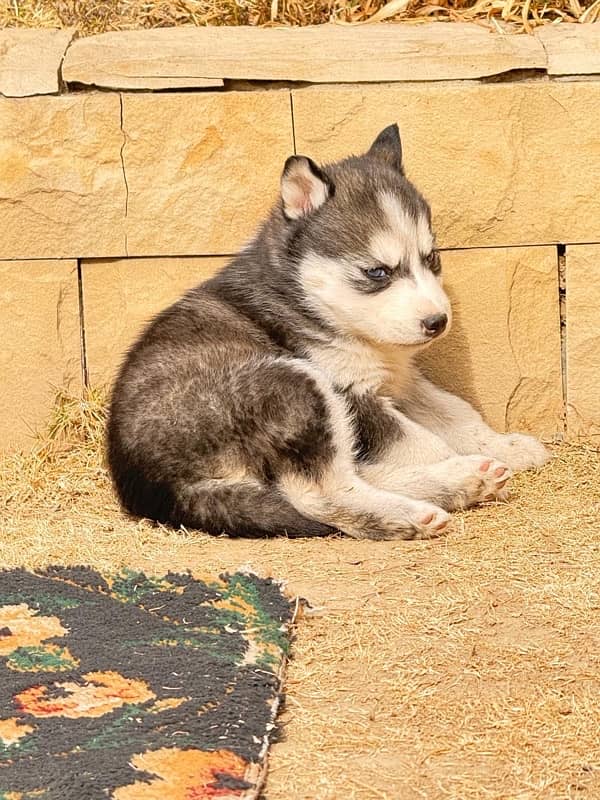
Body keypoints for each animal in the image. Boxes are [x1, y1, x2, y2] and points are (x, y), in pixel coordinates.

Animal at [108, 125, 548, 540]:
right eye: (378, 272)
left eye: (432, 258)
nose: (437, 322)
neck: (307, 300)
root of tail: (159, 488)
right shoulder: (353, 393)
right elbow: (423, 441)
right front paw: (459, 461)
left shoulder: (400, 381)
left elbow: (456, 413)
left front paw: (504, 445)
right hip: (294, 385)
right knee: (321, 494)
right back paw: (438, 494)